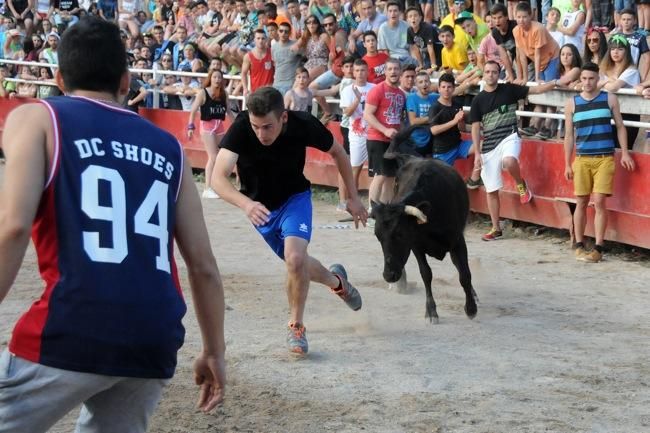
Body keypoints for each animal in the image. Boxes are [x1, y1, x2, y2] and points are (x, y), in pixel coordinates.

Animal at [368, 123, 478, 322]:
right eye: (377, 236)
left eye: (399, 233)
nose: (388, 275)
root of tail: (411, 157)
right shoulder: (416, 245)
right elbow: (426, 274)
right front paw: (431, 310)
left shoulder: (458, 241)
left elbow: (464, 274)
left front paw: (471, 308)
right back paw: (401, 283)